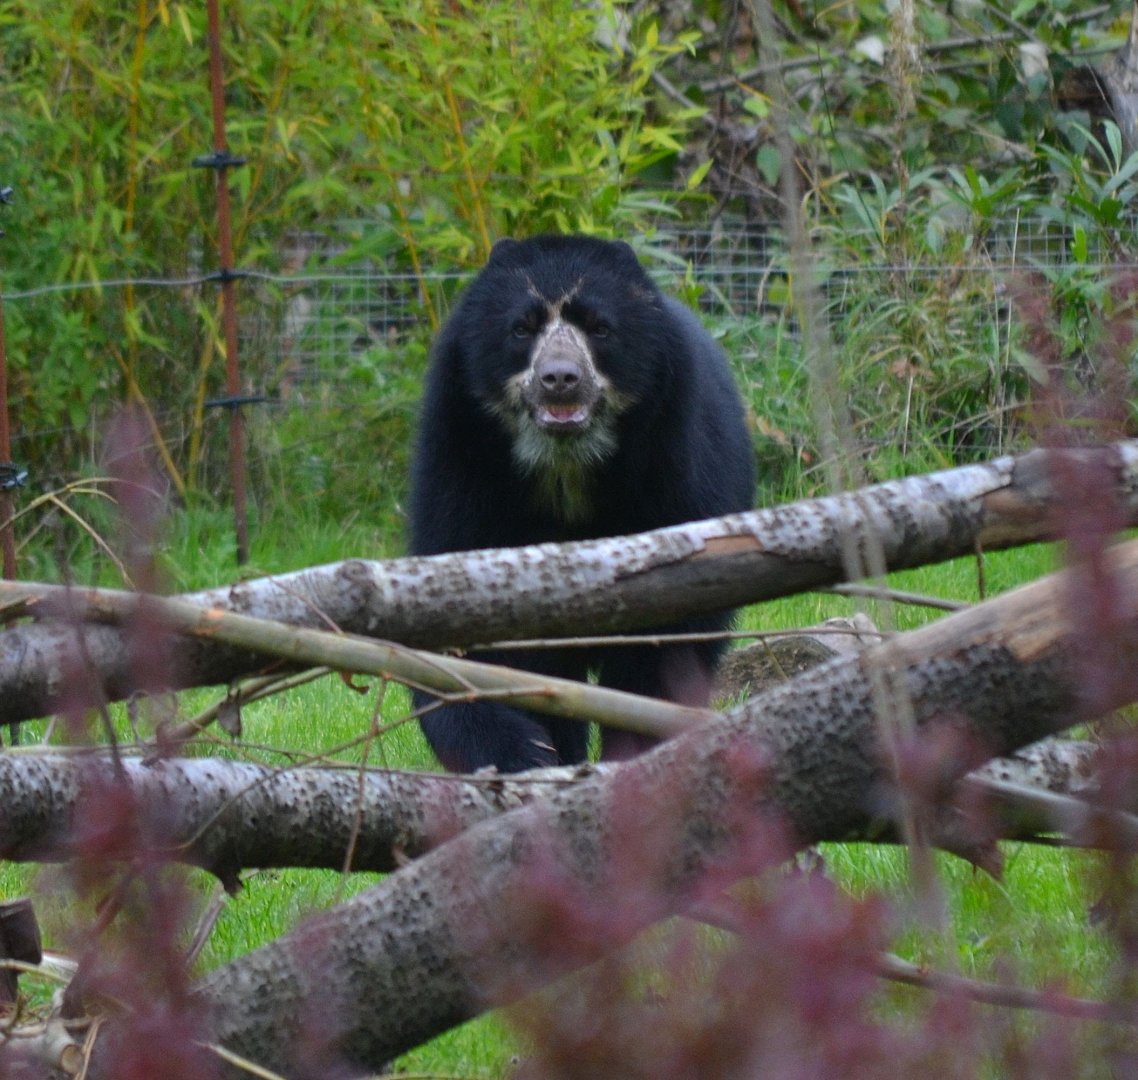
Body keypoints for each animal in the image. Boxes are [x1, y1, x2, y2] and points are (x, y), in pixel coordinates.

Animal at [408, 234, 755, 773]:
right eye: (522, 327)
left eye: (599, 328)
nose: (560, 378)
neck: (564, 465)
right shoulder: (461, 469)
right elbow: (468, 643)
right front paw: (527, 753)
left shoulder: (676, 465)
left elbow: (668, 636)